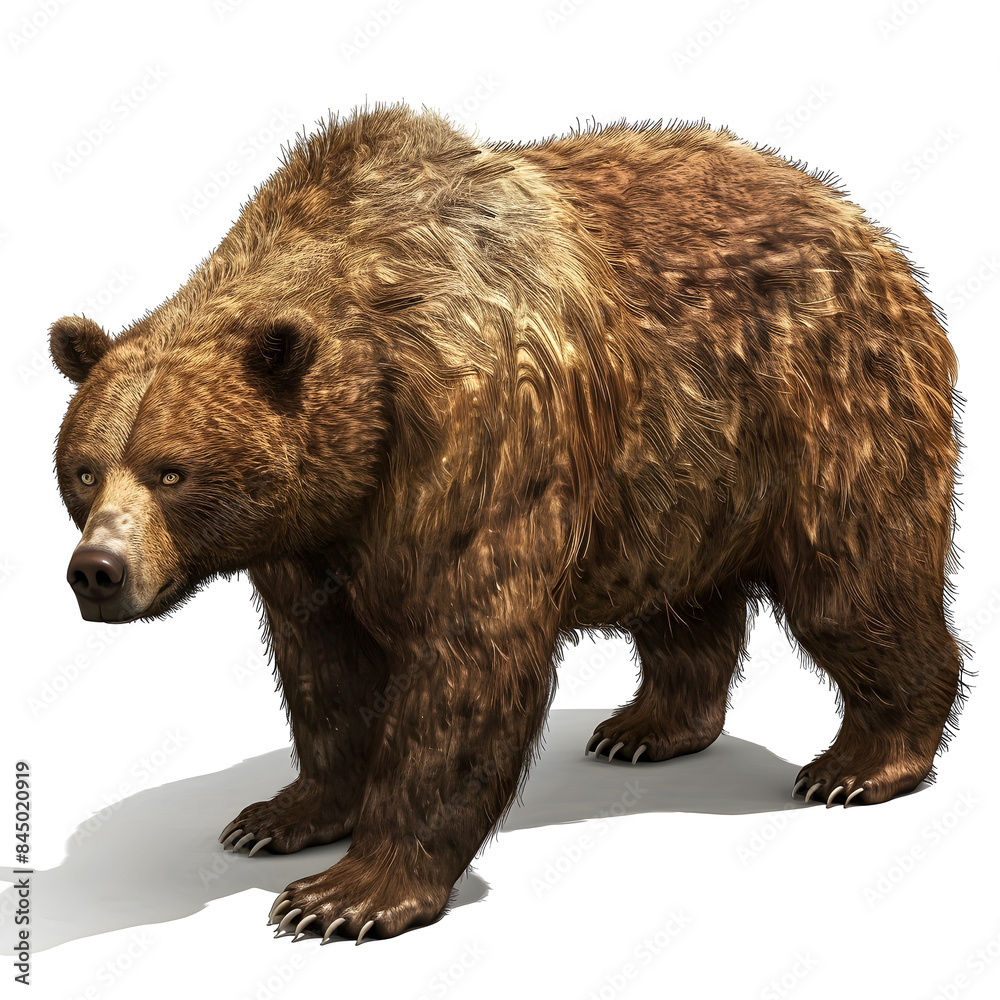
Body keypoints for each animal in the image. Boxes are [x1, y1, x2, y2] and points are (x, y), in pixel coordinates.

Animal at [50, 104, 965, 943]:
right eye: (85, 469)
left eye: (172, 470)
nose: (98, 570)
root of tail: (863, 225)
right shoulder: (311, 534)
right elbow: (323, 668)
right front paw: (282, 815)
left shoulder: (479, 434)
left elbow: (465, 656)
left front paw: (346, 897)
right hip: (683, 471)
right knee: (684, 600)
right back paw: (648, 727)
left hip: (828, 406)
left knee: (853, 584)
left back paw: (861, 764)